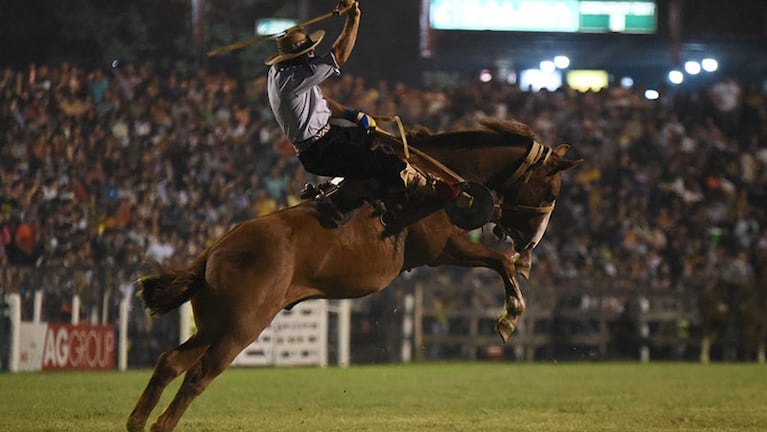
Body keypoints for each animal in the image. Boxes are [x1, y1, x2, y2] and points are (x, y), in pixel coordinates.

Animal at [126, 118, 584, 432]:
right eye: (550, 191)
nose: (531, 242)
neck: (436, 179)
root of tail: (214, 251)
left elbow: (500, 262)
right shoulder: (443, 250)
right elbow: (500, 263)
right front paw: (510, 313)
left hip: (212, 324)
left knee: (170, 362)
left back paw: (137, 421)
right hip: (241, 329)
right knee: (198, 375)